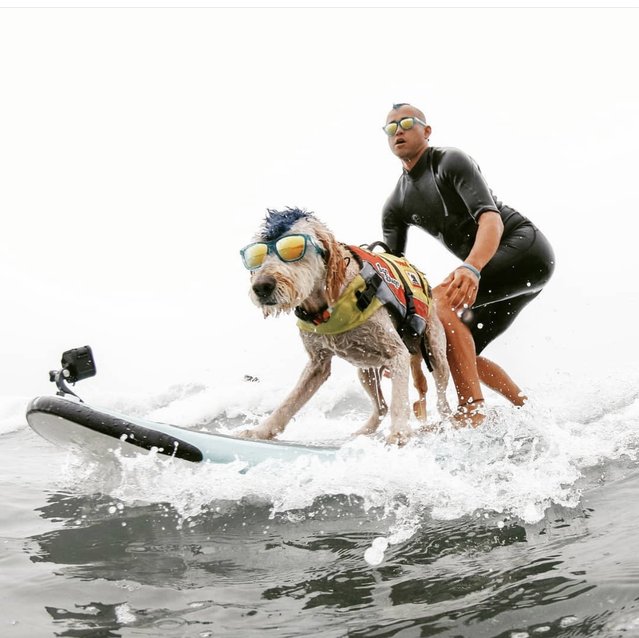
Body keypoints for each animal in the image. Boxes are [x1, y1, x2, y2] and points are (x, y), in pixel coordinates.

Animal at [239, 210, 450, 444]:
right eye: (257, 256)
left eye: (292, 248)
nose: (261, 287)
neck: (325, 306)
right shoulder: (317, 363)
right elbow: (289, 402)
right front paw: (261, 430)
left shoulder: (397, 353)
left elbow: (399, 399)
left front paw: (399, 433)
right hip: (366, 371)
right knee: (381, 407)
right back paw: (362, 432)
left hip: (435, 353)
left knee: (442, 401)